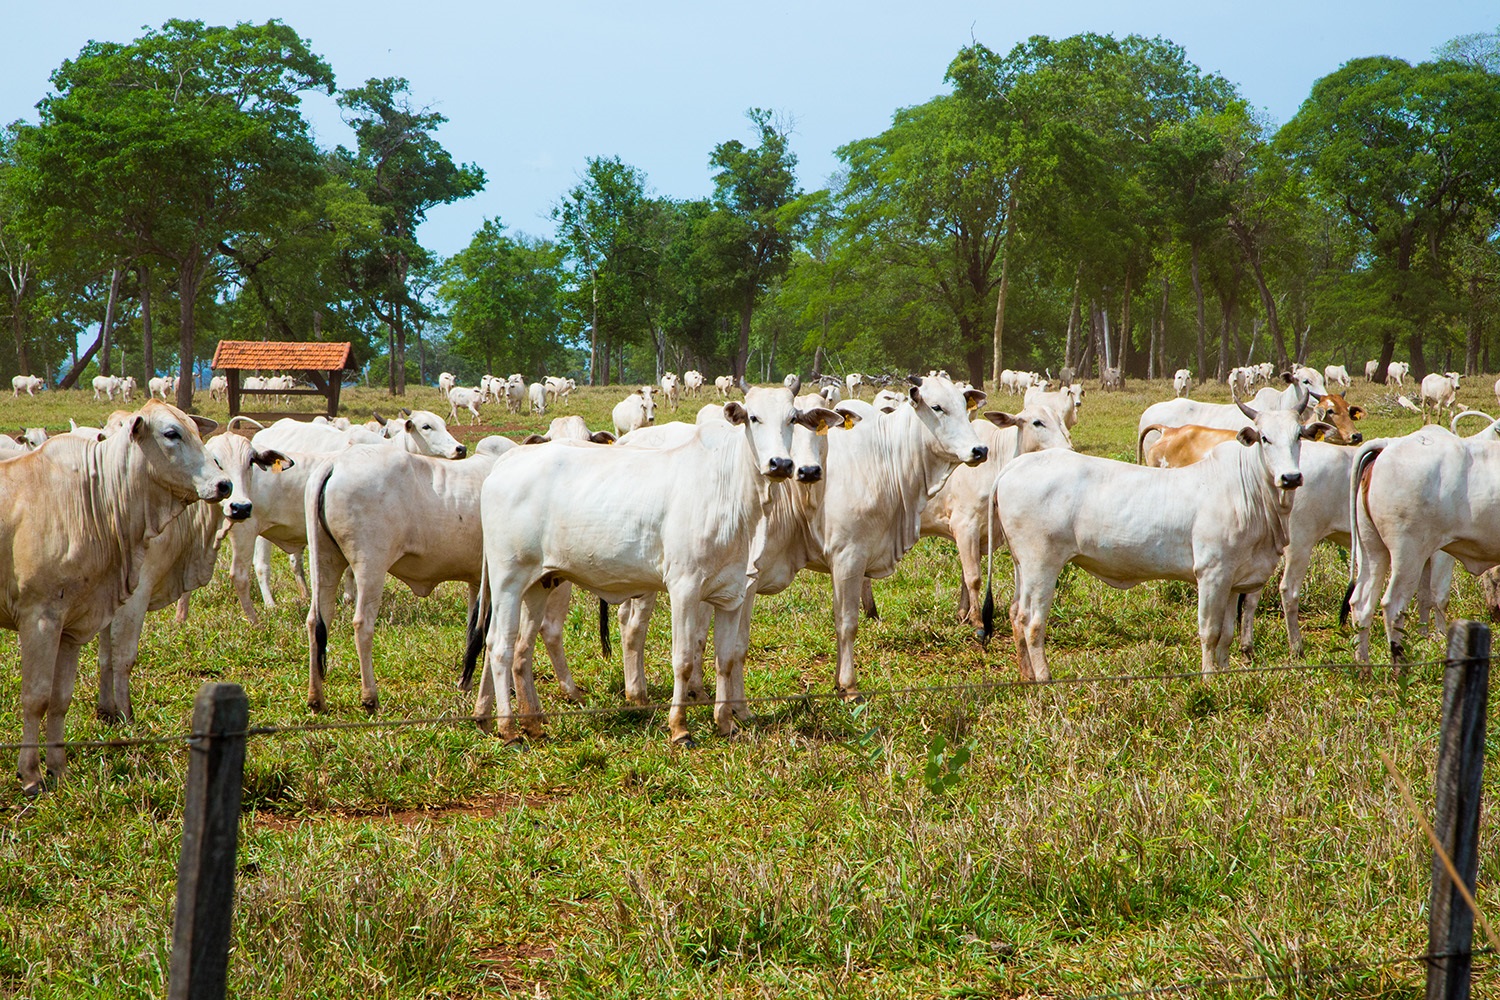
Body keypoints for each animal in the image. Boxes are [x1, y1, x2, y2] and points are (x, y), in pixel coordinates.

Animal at [1002, 404, 1332, 680]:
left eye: (1299, 436)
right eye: (1265, 438)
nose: (1291, 477)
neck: (1251, 493)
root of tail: (1014, 467)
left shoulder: (1233, 580)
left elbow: (1227, 634)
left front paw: (1225, 674)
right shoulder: (1212, 574)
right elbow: (1210, 632)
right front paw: (1209, 678)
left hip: (1022, 565)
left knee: (1017, 614)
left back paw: (1026, 675)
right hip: (1042, 564)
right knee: (1033, 622)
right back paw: (1044, 678)